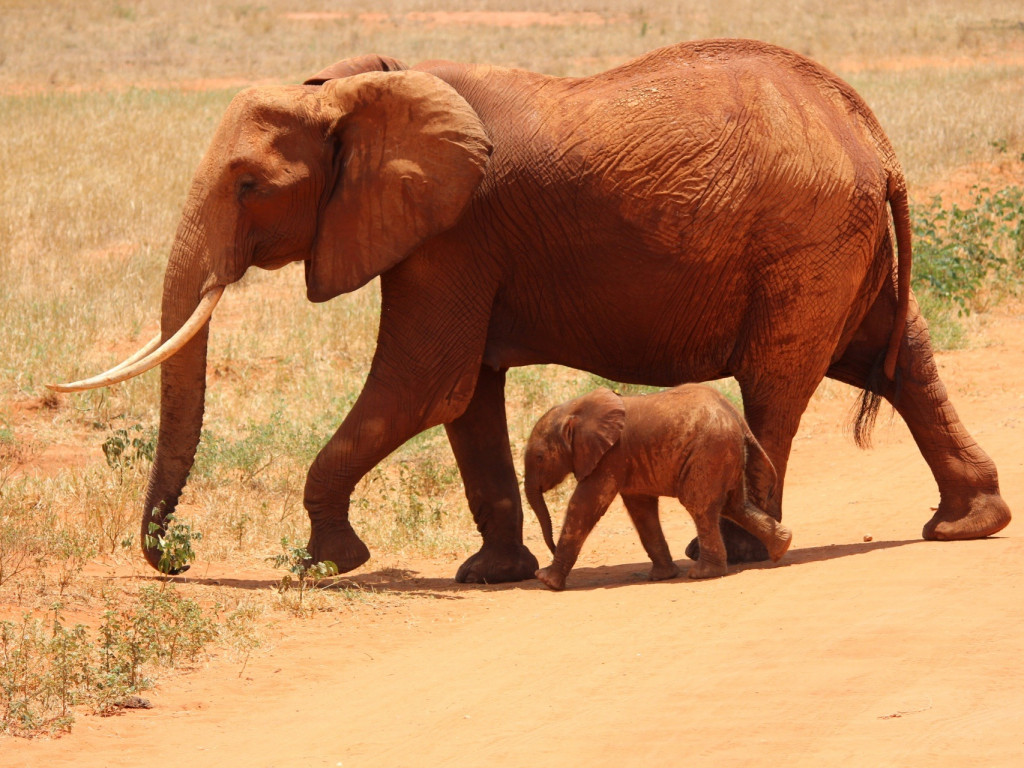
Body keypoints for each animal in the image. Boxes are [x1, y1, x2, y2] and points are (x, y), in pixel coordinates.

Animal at [524, 385, 792, 590]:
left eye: (539, 457)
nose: (550, 547)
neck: (574, 409)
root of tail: (737, 417)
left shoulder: (610, 456)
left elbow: (585, 505)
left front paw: (547, 581)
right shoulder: (627, 461)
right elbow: (641, 510)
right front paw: (663, 576)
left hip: (709, 452)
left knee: (700, 506)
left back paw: (704, 574)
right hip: (725, 454)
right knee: (735, 506)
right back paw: (782, 547)